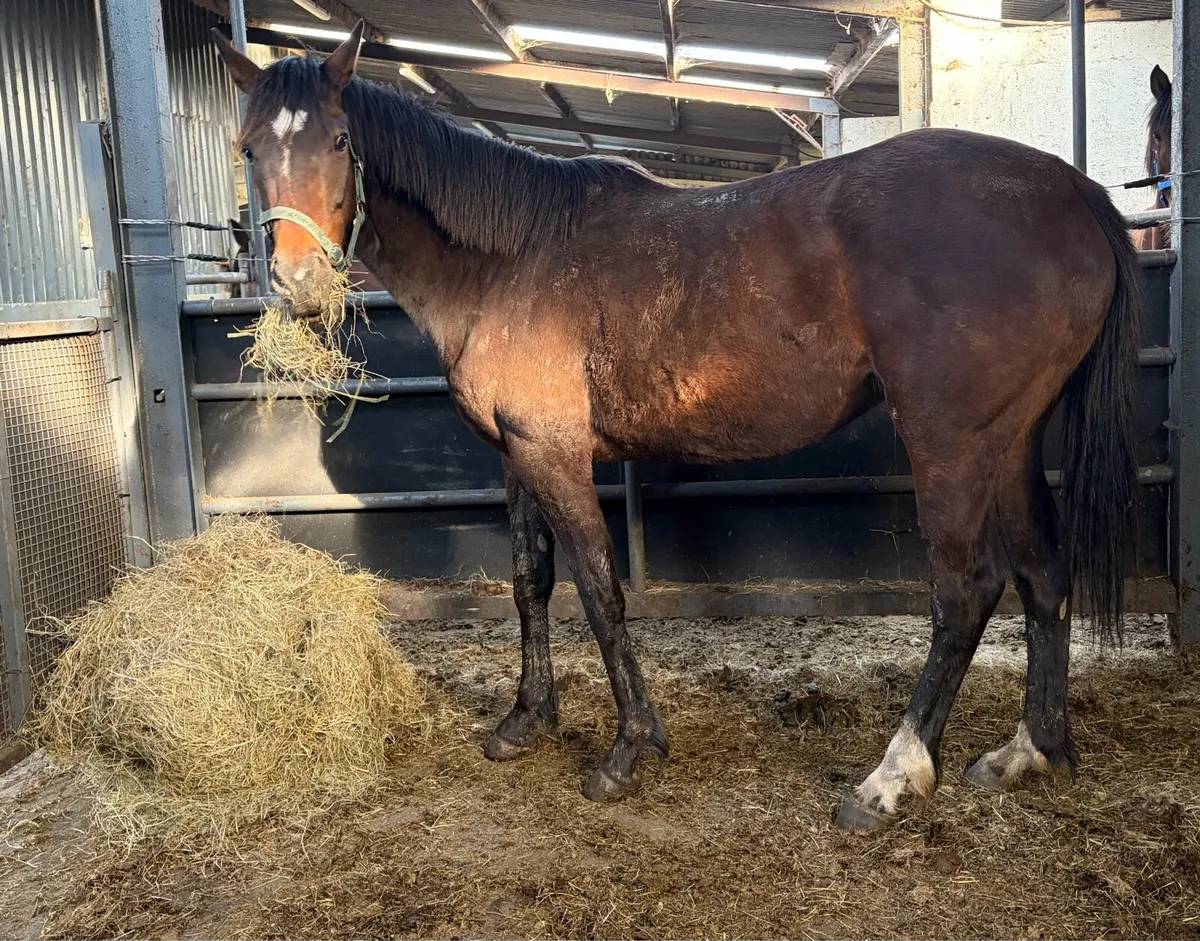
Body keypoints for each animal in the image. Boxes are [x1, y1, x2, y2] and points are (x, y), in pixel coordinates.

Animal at [213, 24, 1143, 831]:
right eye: (250, 148)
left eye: (339, 140)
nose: (299, 285)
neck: (511, 255)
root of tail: (1071, 191)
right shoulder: (519, 454)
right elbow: (530, 579)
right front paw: (526, 719)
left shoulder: (555, 453)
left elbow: (599, 590)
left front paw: (627, 751)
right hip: (1012, 439)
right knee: (1043, 573)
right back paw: (1030, 750)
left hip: (952, 443)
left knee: (965, 590)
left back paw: (891, 778)